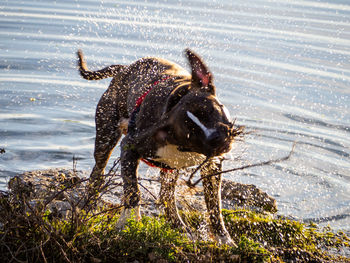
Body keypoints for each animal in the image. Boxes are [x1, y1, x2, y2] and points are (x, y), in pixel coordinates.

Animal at [77, 48, 242, 246]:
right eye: (190, 134)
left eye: (210, 110)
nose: (217, 138)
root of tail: (123, 69)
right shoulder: (130, 147)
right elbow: (133, 191)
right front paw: (130, 220)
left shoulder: (212, 165)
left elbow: (214, 204)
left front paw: (223, 238)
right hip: (106, 134)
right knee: (98, 173)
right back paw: (87, 206)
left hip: (170, 167)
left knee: (166, 196)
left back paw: (179, 227)